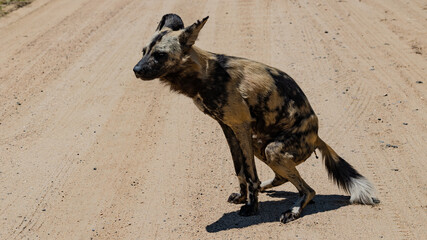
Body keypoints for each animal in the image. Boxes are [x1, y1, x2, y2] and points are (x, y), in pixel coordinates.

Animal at [135, 13, 382, 223]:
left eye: (160, 55)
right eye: (143, 51)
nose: (136, 70)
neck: (203, 74)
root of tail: (317, 136)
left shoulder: (240, 126)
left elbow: (249, 174)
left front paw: (251, 208)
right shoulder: (229, 128)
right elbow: (240, 170)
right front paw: (243, 198)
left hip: (273, 149)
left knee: (309, 190)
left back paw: (293, 210)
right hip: (259, 144)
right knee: (285, 177)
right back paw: (269, 188)